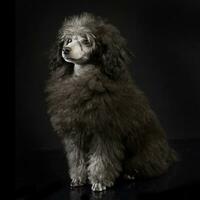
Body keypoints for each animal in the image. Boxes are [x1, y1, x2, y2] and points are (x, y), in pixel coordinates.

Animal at [45, 12, 177, 192]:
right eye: (68, 40)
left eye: (86, 41)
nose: (66, 50)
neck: (86, 79)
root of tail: (168, 155)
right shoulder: (75, 131)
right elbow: (76, 157)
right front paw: (78, 178)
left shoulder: (105, 131)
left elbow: (102, 159)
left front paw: (100, 181)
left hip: (146, 152)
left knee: (151, 166)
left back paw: (132, 173)